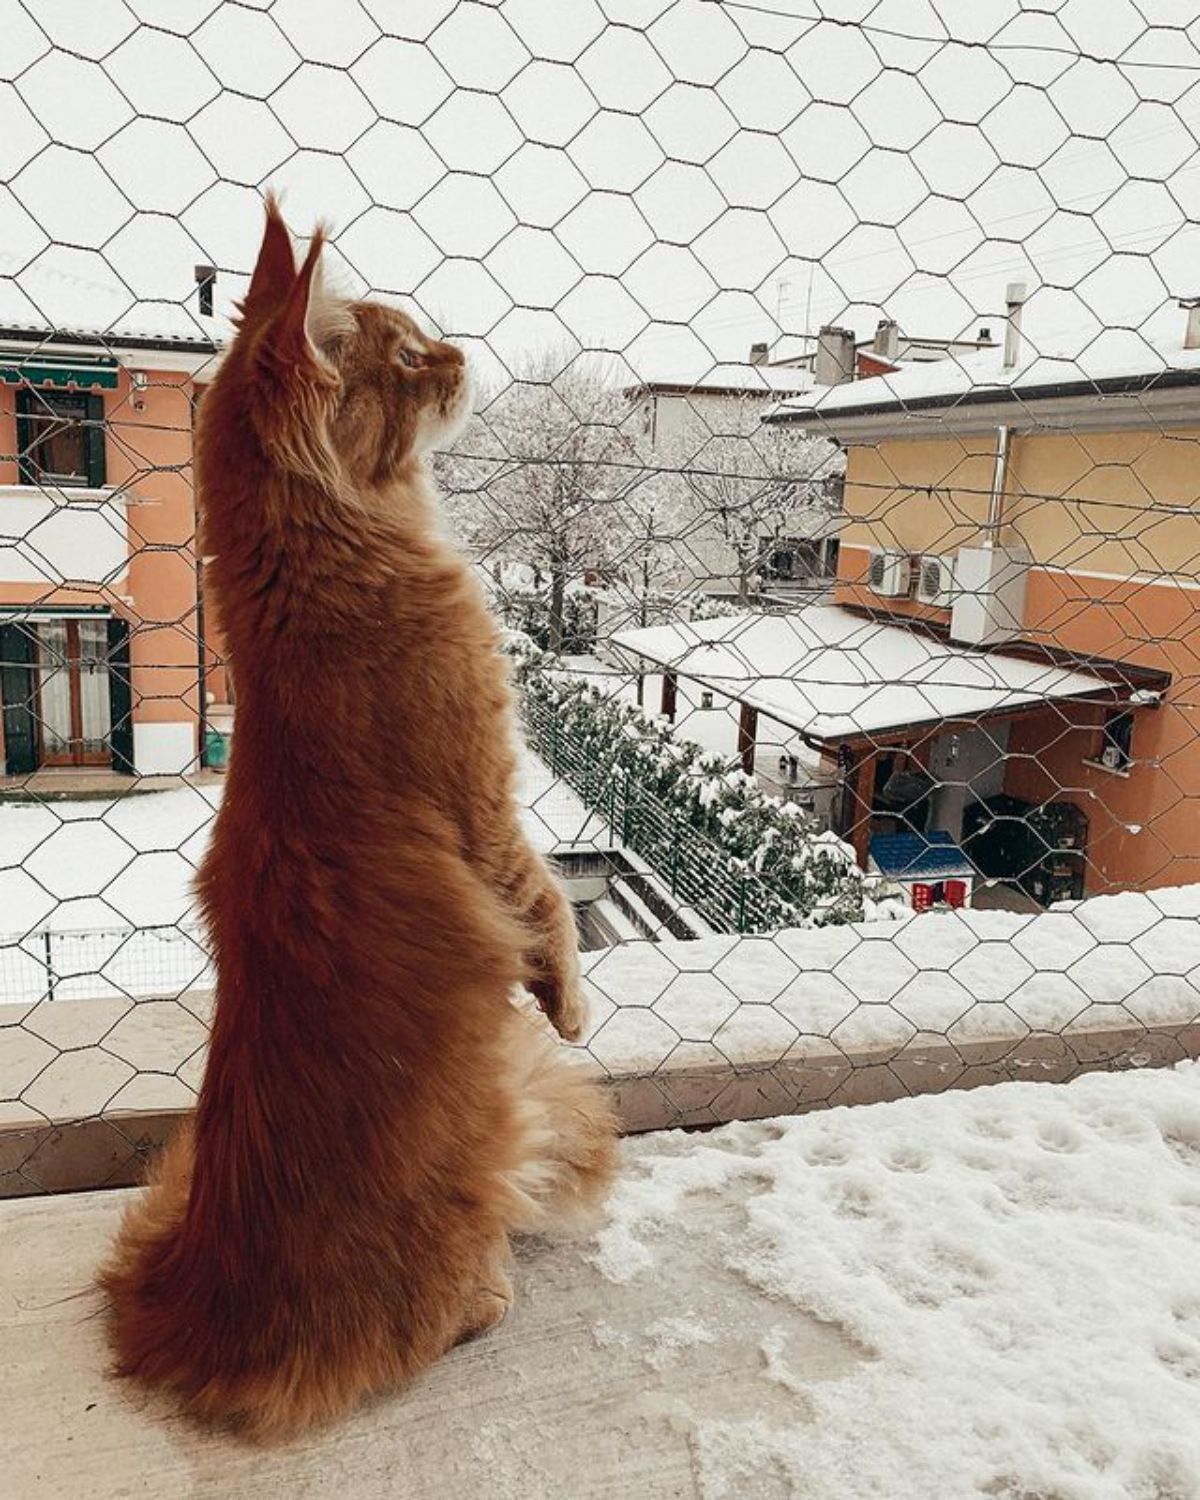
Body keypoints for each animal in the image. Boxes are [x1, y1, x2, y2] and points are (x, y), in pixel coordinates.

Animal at [98, 199, 615, 1440]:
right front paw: (573, 1006)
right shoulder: (490, 808)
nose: (463, 354)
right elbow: (548, 913)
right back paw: (490, 1287)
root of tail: (183, 1310)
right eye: (410, 357)